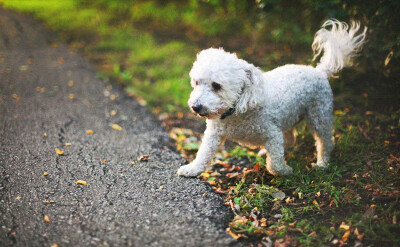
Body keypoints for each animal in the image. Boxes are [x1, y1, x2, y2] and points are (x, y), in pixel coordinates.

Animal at [177, 20, 366, 177]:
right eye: (196, 82)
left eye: (216, 85)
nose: (195, 106)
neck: (236, 111)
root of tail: (319, 71)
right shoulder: (214, 134)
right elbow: (203, 153)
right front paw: (192, 169)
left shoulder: (272, 134)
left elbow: (274, 164)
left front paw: (285, 171)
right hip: (288, 116)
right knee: (290, 138)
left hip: (319, 115)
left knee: (325, 141)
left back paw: (322, 163)